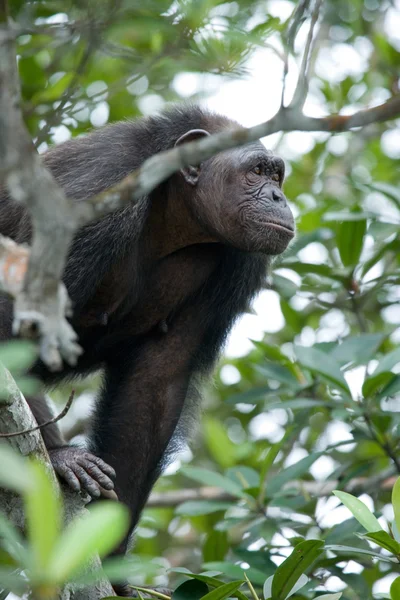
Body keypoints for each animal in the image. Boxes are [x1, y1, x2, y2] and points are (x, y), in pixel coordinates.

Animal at [0, 103, 294, 584]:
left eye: (277, 175)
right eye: (256, 171)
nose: (278, 198)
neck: (172, 210)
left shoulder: (242, 262)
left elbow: (156, 382)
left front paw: (113, 555)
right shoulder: (88, 201)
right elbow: (15, 329)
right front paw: (61, 457)